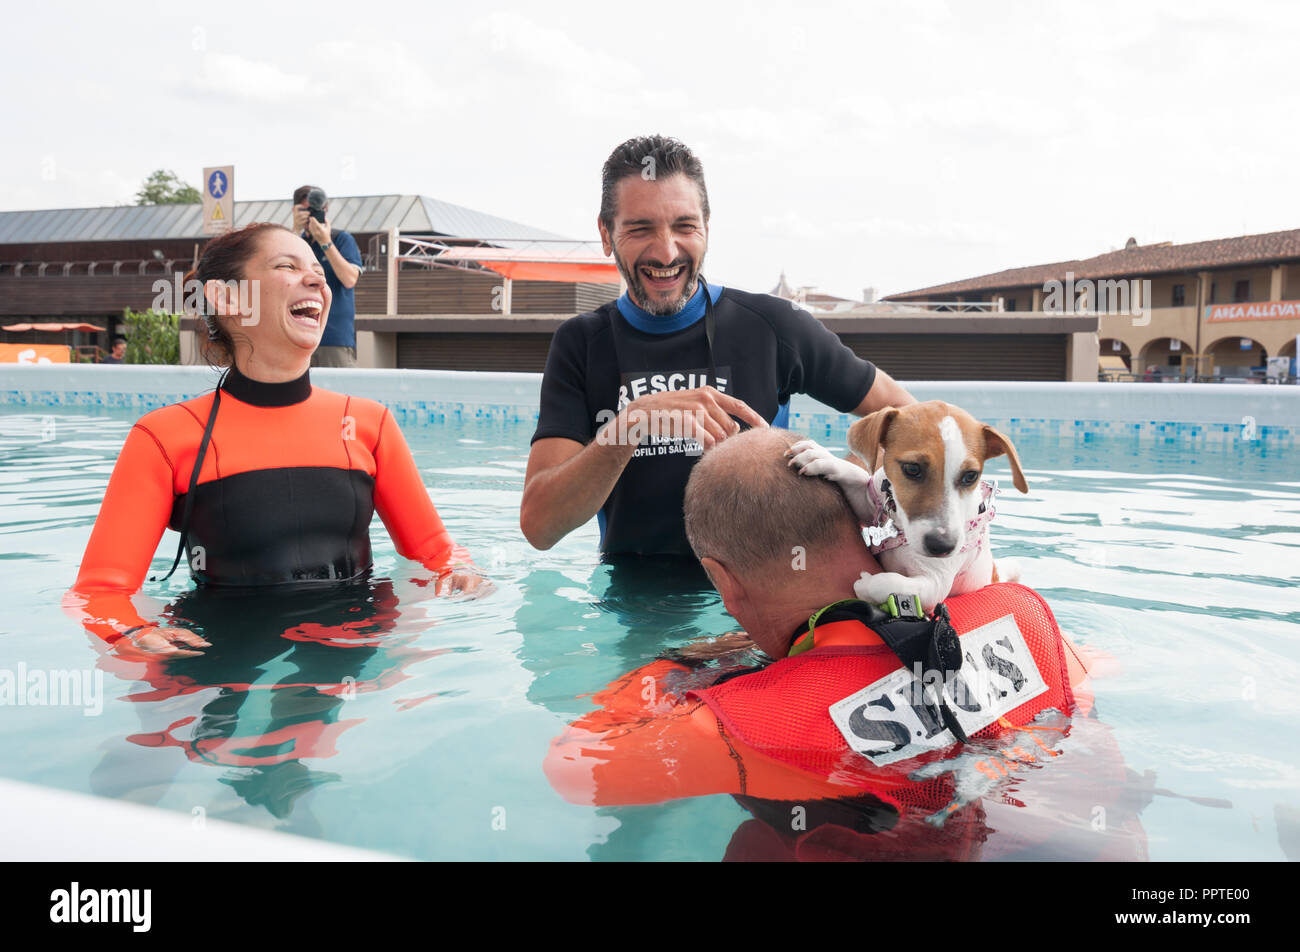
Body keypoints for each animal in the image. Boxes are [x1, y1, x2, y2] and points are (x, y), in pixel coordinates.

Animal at [785, 400, 1029, 608]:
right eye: (912, 469)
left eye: (970, 476)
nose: (942, 546)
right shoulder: (869, 503)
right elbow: (856, 477)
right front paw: (823, 458)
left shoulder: (935, 583)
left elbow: (896, 582)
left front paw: (867, 584)